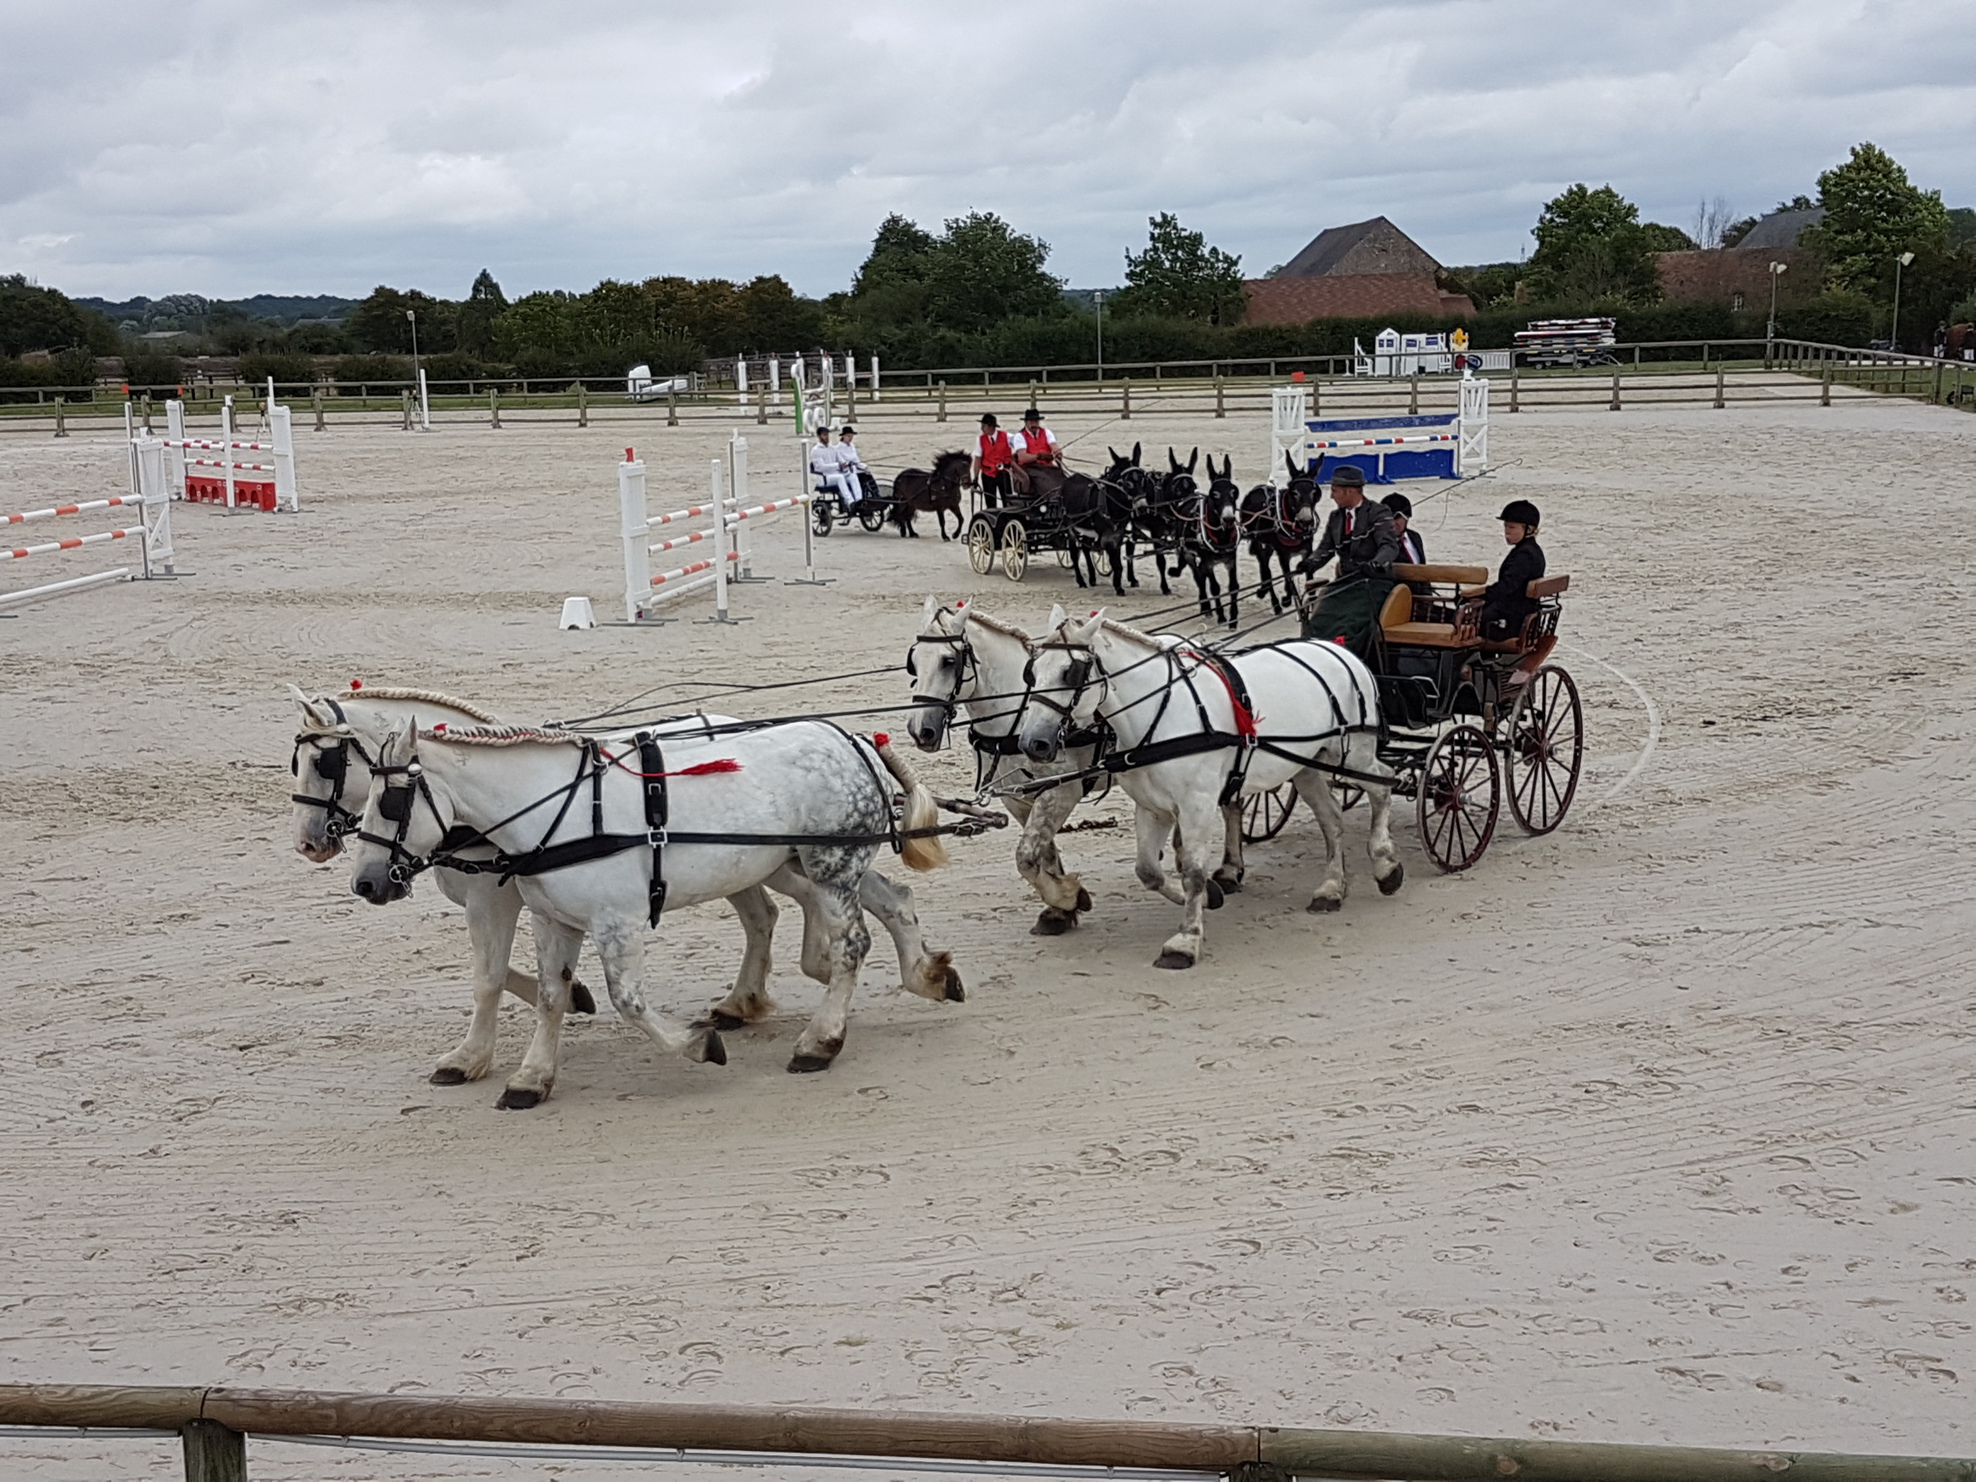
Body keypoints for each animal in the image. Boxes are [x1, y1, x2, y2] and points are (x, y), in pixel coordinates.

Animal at [288, 691, 960, 1098]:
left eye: (392, 799)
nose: (363, 880)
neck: (544, 810)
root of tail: (849, 738)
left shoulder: (606, 919)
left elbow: (622, 1000)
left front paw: (695, 1045)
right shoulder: (550, 918)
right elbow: (549, 995)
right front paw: (531, 1076)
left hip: (828, 866)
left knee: (851, 944)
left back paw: (820, 1040)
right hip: (791, 865)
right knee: (874, 900)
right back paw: (919, 973)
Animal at [905, 596, 1098, 932]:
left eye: (948, 661)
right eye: (914, 661)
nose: (920, 729)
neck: (1018, 716)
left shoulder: (1061, 791)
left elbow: (1025, 857)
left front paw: (1067, 897)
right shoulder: (1017, 798)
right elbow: (1042, 852)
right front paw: (1060, 910)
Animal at [1019, 608, 1406, 968]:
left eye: (1070, 673)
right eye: (1032, 672)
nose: (1032, 742)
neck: (1159, 713)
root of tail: (1340, 649)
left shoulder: (1196, 805)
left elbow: (1192, 871)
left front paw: (1186, 940)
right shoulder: (1153, 807)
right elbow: (1148, 870)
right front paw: (1208, 897)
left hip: (1351, 754)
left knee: (1383, 785)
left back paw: (1385, 864)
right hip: (1308, 767)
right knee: (1332, 820)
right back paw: (1331, 889)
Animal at [1240, 452, 1319, 616]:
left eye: (1314, 492)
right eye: (1294, 492)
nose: (1306, 520)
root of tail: (1257, 488)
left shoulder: (1307, 551)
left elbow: (1308, 583)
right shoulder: (1283, 554)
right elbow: (1289, 579)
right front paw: (1287, 600)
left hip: (1268, 546)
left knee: (1265, 566)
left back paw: (1264, 591)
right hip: (1258, 541)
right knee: (1266, 569)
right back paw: (1274, 603)